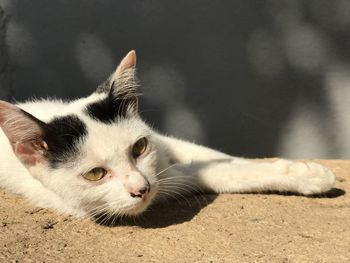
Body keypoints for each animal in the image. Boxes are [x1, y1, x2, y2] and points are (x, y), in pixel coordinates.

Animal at [0, 50, 334, 220]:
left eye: (139, 147)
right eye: (95, 174)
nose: (142, 188)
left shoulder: (162, 143)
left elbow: (218, 159)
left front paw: (301, 171)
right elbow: (211, 173)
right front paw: (309, 176)